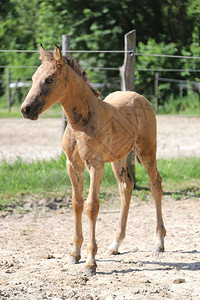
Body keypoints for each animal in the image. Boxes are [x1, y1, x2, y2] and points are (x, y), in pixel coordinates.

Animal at [21, 44, 166, 276]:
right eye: (34, 77)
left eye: (49, 80)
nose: (26, 109)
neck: (80, 123)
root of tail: (139, 97)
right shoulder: (73, 166)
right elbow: (76, 204)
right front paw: (74, 254)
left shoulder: (95, 165)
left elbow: (91, 206)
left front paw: (90, 262)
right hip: (119, 158)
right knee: (126, 186)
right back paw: (115, 244)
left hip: (147, 150)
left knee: (155, 185)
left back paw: (159, 242)